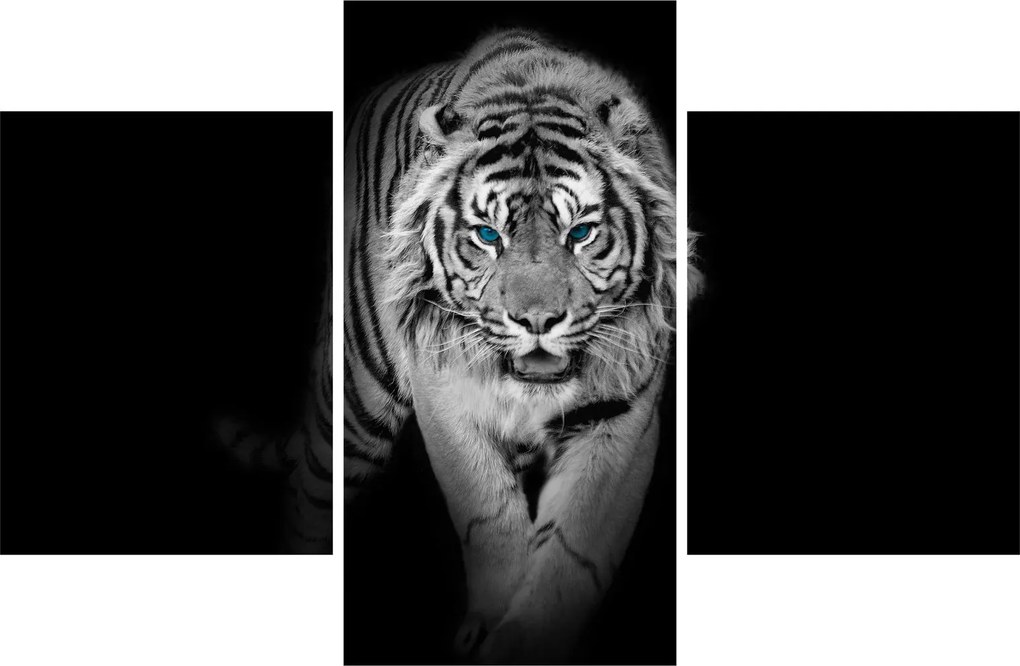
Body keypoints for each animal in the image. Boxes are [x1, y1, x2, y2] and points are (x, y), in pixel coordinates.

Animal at [345, 29, 693, 662]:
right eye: (488, 235)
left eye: (581, 232)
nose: (536, 319)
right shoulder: (445, 400)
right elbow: (489, 516)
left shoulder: (622, 416)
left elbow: (574, 547)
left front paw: (524, 640)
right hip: (357, 405)